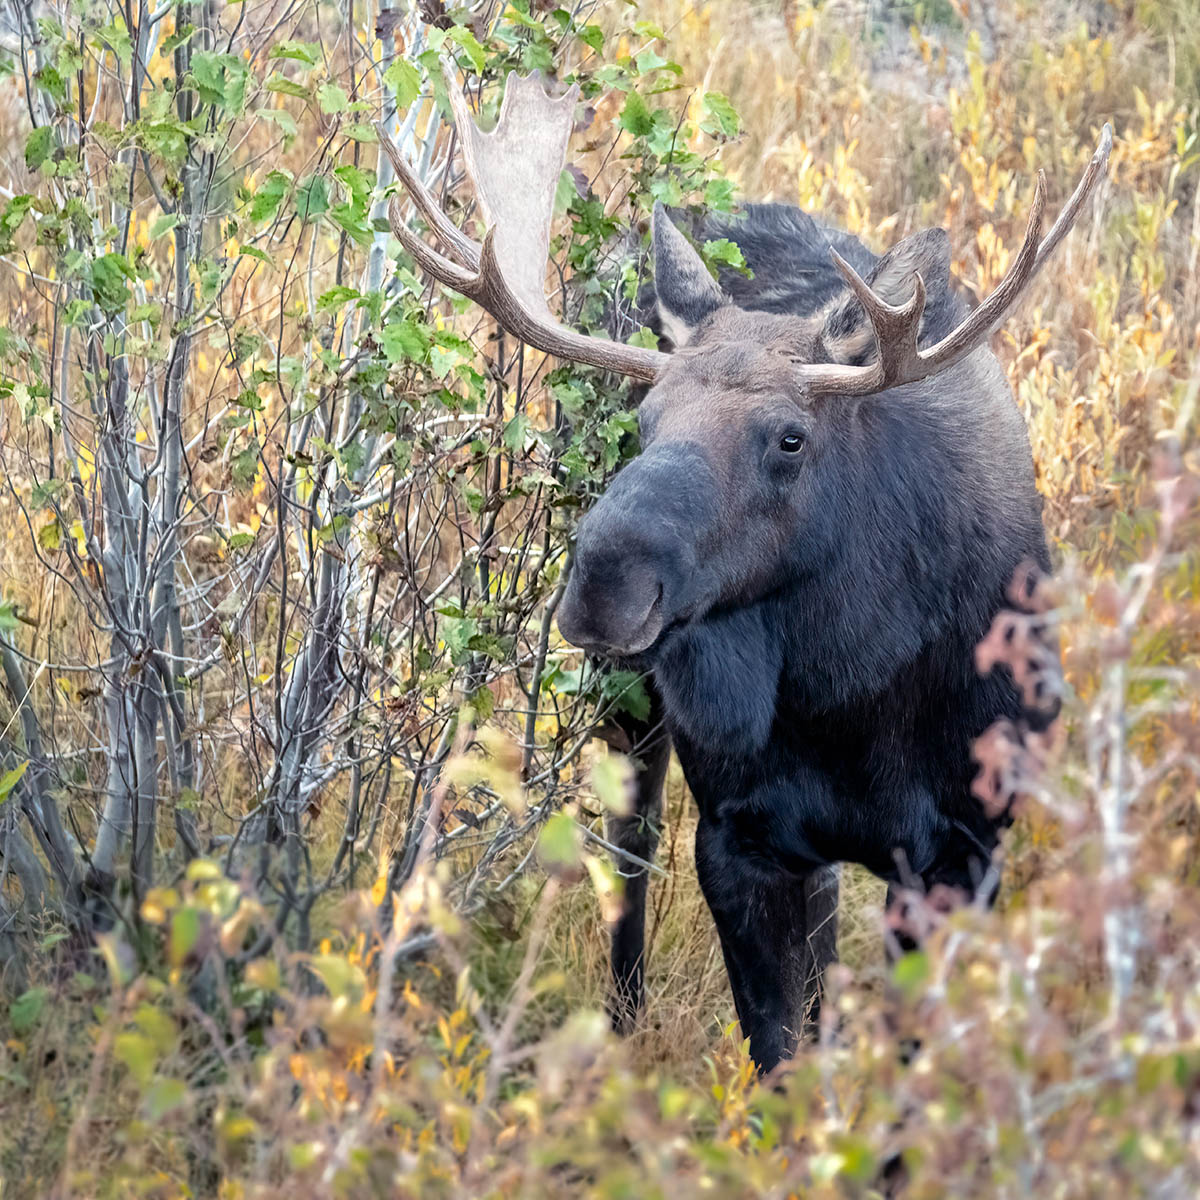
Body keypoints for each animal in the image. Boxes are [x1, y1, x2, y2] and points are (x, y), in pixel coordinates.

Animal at [377, 71, 1111, 1074]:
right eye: (644, 420)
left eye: (791, 438)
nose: (603, 584)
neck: (850, 693)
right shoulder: (737, 838)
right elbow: (778, 1059)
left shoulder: (965, 851)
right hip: (633, 713)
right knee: (633, 847)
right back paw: (621, 1029)